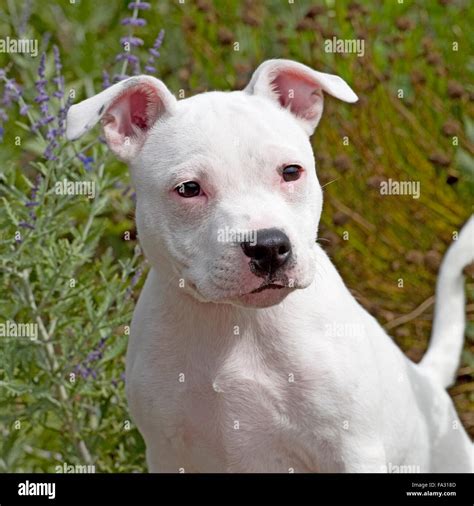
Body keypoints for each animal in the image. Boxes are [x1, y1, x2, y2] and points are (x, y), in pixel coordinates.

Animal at [65, 59, 472, 474]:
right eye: (189, 189)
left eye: (291, 172)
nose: (269, 247)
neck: (238, 323)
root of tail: (427, 381)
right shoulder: (168, 453)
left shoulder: (353, 450)